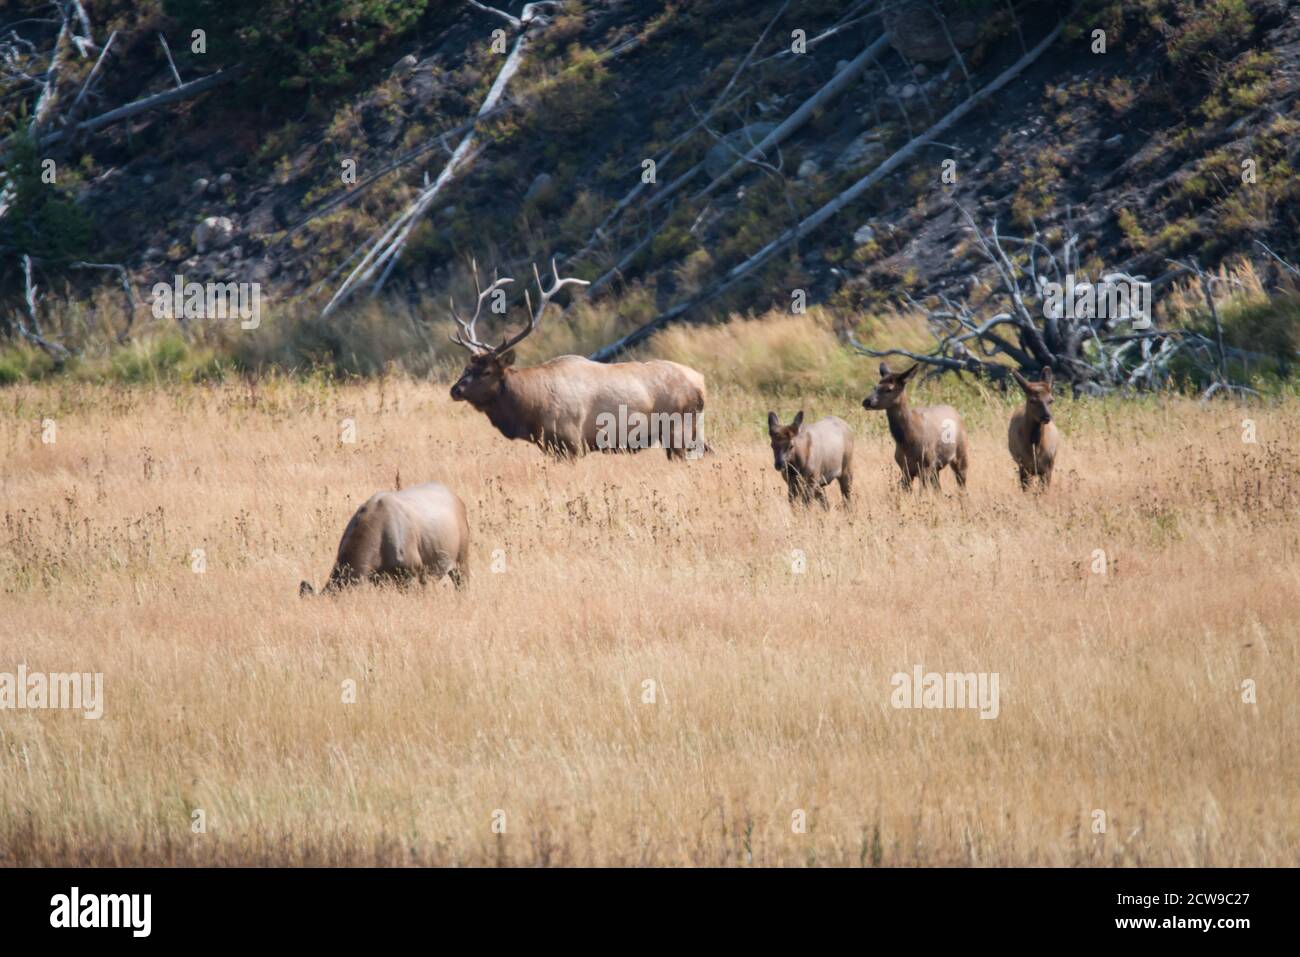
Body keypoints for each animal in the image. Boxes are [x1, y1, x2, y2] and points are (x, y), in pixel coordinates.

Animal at [449, 260, 712, 457]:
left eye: (487, 371)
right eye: (466, 367)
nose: (455, 390)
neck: (531, 408)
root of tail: (701, 382)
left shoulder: (571, 442)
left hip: (677, 428)